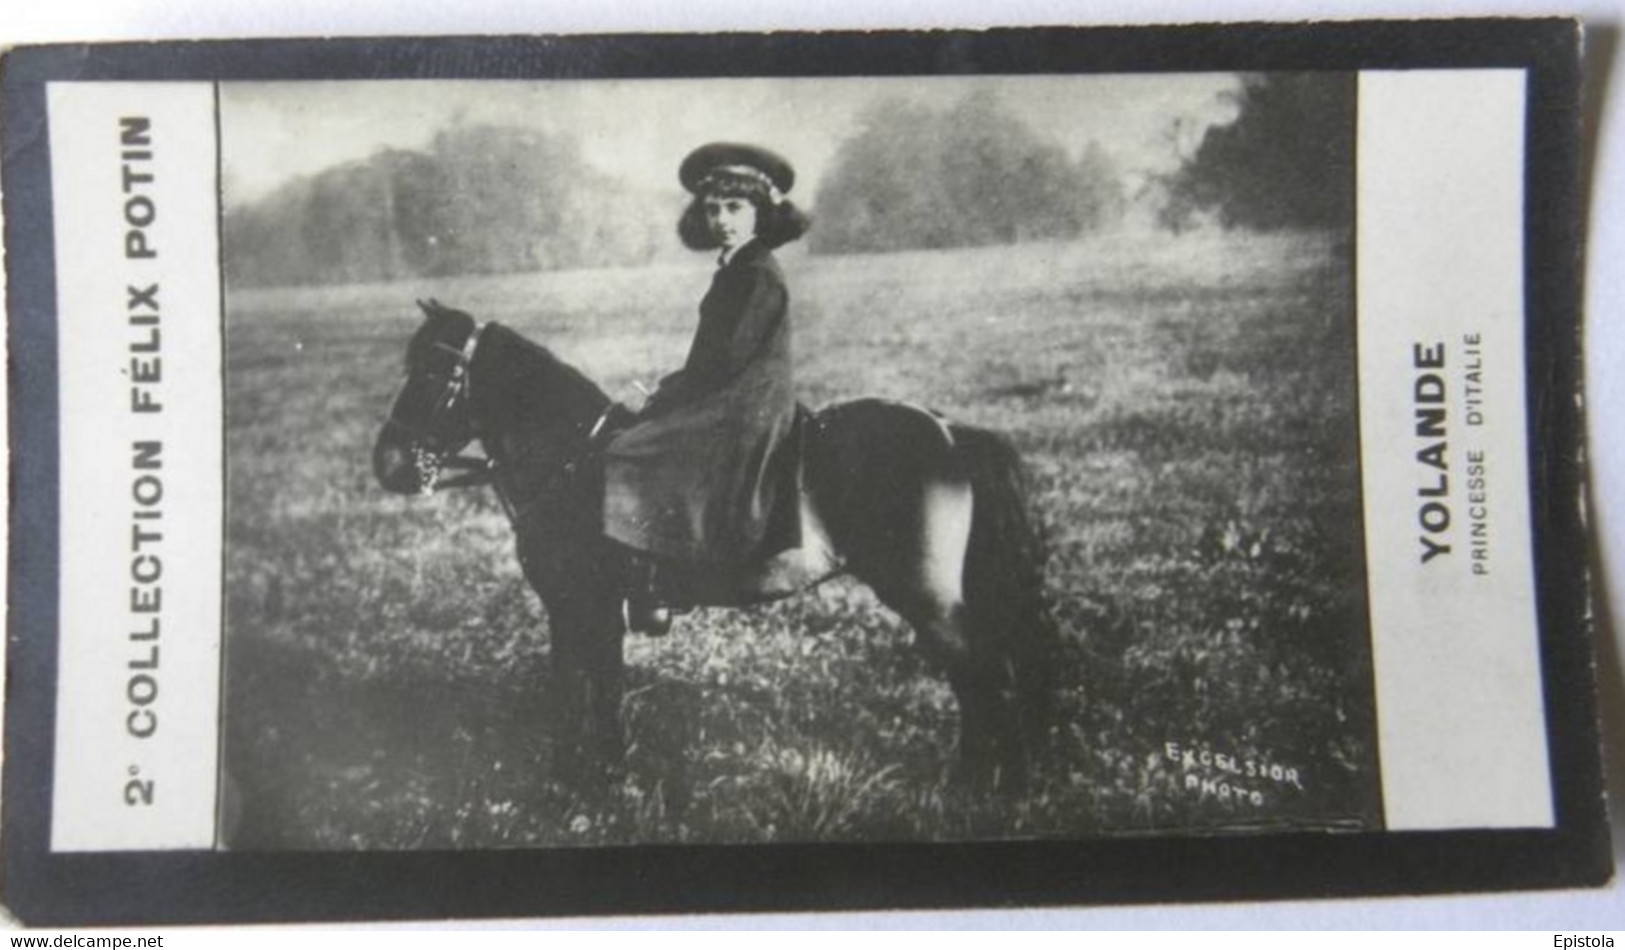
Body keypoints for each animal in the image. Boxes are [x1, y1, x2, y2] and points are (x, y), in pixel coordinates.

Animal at [372, 300, 1053, 789]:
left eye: (433, 371)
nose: (388, 464)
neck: (575, 461)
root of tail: (950, 430)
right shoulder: (582, 613)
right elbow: (593, 685)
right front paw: (598, 772)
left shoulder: (583, 607)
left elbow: (583, 688)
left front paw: (584, 782)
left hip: (927, 598)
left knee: (984, 676)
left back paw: (992, 786)